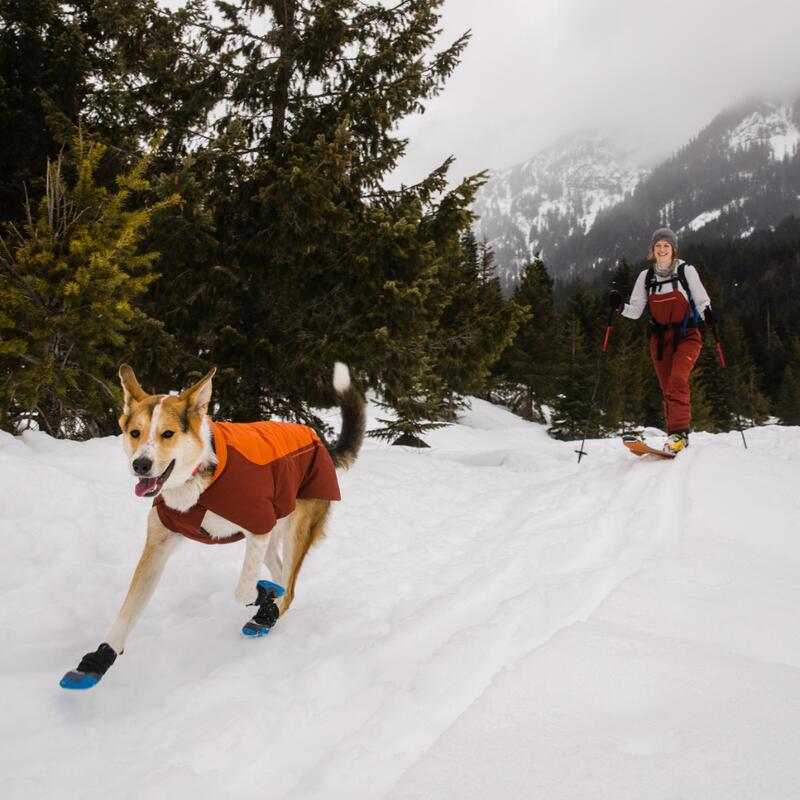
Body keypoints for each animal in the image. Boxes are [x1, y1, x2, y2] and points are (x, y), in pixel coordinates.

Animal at [60, 362, 366, 688]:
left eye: (167, 433)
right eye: (135, 433)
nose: (140, 465)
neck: (198, 480)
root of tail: (318, 440)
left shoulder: (257, 527)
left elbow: (243, 591)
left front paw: (263, 596)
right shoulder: (158, 546)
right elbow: (126, 612)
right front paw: (97, 661)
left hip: (294, 530)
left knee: (289, 587)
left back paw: (267, 614)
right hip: (274, 533)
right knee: (284, 576)